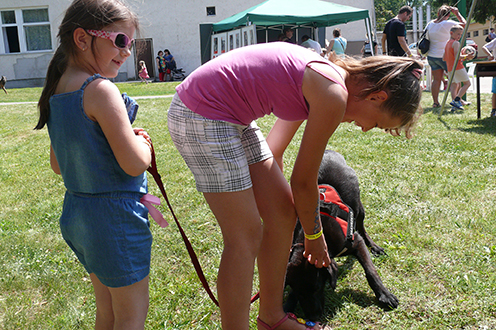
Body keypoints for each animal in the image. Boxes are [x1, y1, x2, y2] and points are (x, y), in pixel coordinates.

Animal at [284, 150, 398, 320]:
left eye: (317, 287)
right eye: (299, 292)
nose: (313, 317)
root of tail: (328, 151)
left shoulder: (356, 242)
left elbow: (371, 271)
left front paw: (384, 295)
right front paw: (287, 305)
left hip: (359, 208)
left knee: (362, 228)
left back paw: (375, 247)